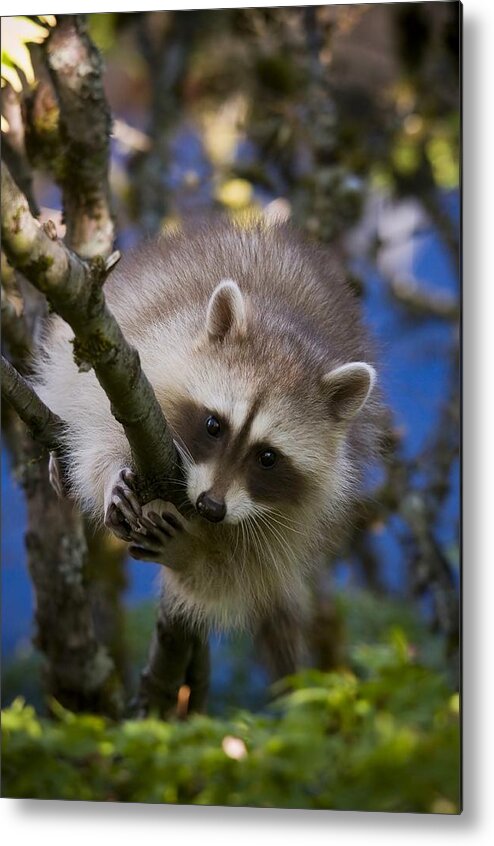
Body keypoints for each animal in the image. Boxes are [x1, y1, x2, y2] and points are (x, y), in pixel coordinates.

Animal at [36, 220, 384, 684]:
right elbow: (98, 424)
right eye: (214, 426)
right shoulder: (137, 362)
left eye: (268, 457)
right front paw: (109, 470)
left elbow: (238, 580)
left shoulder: (296, 520)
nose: (211, 507)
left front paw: (190, 555)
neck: (287, 332)